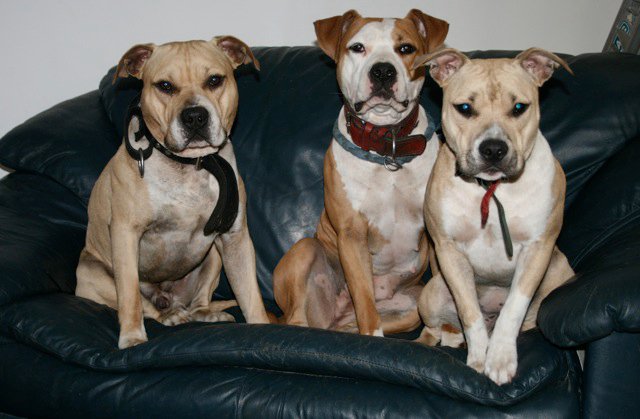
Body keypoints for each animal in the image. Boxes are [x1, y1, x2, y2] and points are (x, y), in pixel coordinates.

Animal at [76, 36, 270, 349]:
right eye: (165, 86)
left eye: (214, 80)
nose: (195, 116)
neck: (191, 164)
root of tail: (168, 297)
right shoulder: (126, 233)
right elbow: (129, 296)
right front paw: (132, 337)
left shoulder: (234, 238)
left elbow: (249, 294)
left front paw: (263, 327)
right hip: (92, 271)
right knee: (147, 306)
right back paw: (169, 316)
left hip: (213, 257)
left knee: (198, 302)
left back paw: (205, 313)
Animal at [272, 10, 448, 336]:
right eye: (357, 47)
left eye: (406, 48)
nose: (383, 72)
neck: (387, 149)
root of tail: (337, 317)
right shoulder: (352, 234)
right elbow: (365, 302)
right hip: (306, 250)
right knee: (297, 318)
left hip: (410, 306)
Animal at [413, 48, 575, 384]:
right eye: (464, 108)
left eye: (519, 108)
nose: (493, 149)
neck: (492, 188)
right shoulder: (449, 251)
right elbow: (470, 313)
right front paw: (478, 359)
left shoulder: (538, 250)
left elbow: (513, 309)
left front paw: (499, 359)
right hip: (432, 293)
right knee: (437, 330)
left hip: (558, 272)